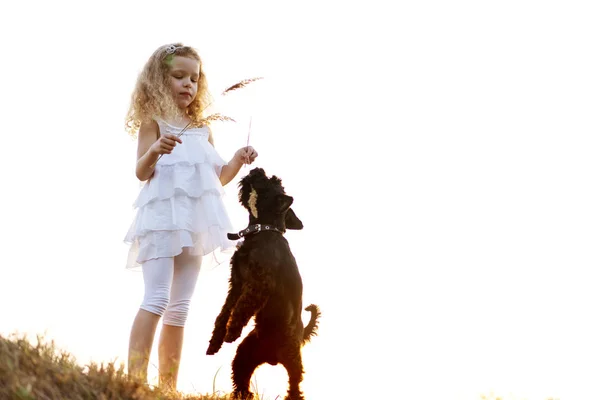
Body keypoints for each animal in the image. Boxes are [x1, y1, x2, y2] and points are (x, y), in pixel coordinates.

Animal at [206, 168, 322, 400]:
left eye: (270, 182)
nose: (256, 169)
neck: (264, 231)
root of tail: (271, 357)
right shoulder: (236, 283)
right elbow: (224, 312)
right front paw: (216, 340)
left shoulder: (259, 284)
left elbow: (241, 307)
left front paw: (232, 332)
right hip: (244, 356)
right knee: (242, 382)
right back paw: (240, 395)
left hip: (293, 359)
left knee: (295, 386)